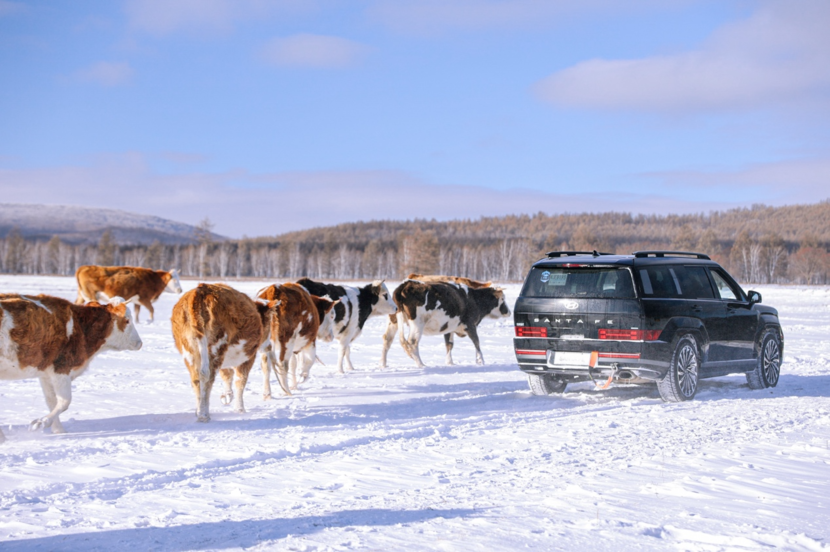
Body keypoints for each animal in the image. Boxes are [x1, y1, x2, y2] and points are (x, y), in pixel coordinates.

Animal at [0, 294, 142, 440]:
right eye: (127, 321)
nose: (140, 343)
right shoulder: (62, 367)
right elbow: (65, 401)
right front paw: (40, 423)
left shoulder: (46, 372)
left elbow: (52, 400)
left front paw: (59, 430)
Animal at [171, 284, 278, 422]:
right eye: (269, 323)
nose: (269, 346)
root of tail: (201, 291)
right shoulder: (248, 356)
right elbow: (240, 380)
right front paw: (240, 409)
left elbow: (227, 375)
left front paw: (227, 396)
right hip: (217, 346)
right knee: (207, 377)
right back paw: (204, 415)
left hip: (190, 350)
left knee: (196, 378)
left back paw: (198, 411)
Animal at [380, 278, 510, 368]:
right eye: (503, 299)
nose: (509, 312)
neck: (474, 299)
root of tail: (405, 284)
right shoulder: (470, 324)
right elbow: (476, 342)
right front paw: (481, 361)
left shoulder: (449, 327)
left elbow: (449, 344)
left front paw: (450, 362)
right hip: (418, 323)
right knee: (412, 341)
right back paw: (421, 364)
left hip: (393, 319)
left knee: (387, 339)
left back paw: (383, 364)